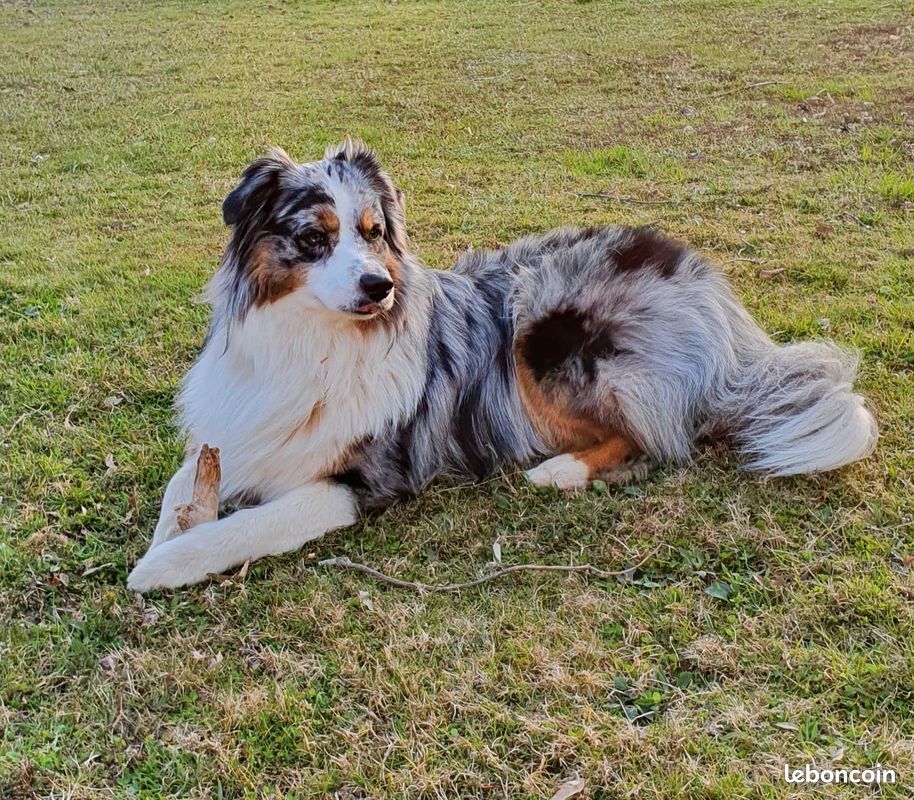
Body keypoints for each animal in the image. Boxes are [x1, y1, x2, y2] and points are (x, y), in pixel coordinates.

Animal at [126, 138, 876, 592]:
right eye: (314, 238)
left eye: (374, 232)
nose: (380, 287)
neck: (311, 340)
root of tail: (713, 288)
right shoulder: (232, 428)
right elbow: (181, 487)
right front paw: (166, 537)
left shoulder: (368, 478)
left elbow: (248, 525)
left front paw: (165, 565)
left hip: (544, 331)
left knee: (658, 439)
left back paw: (559, 471)